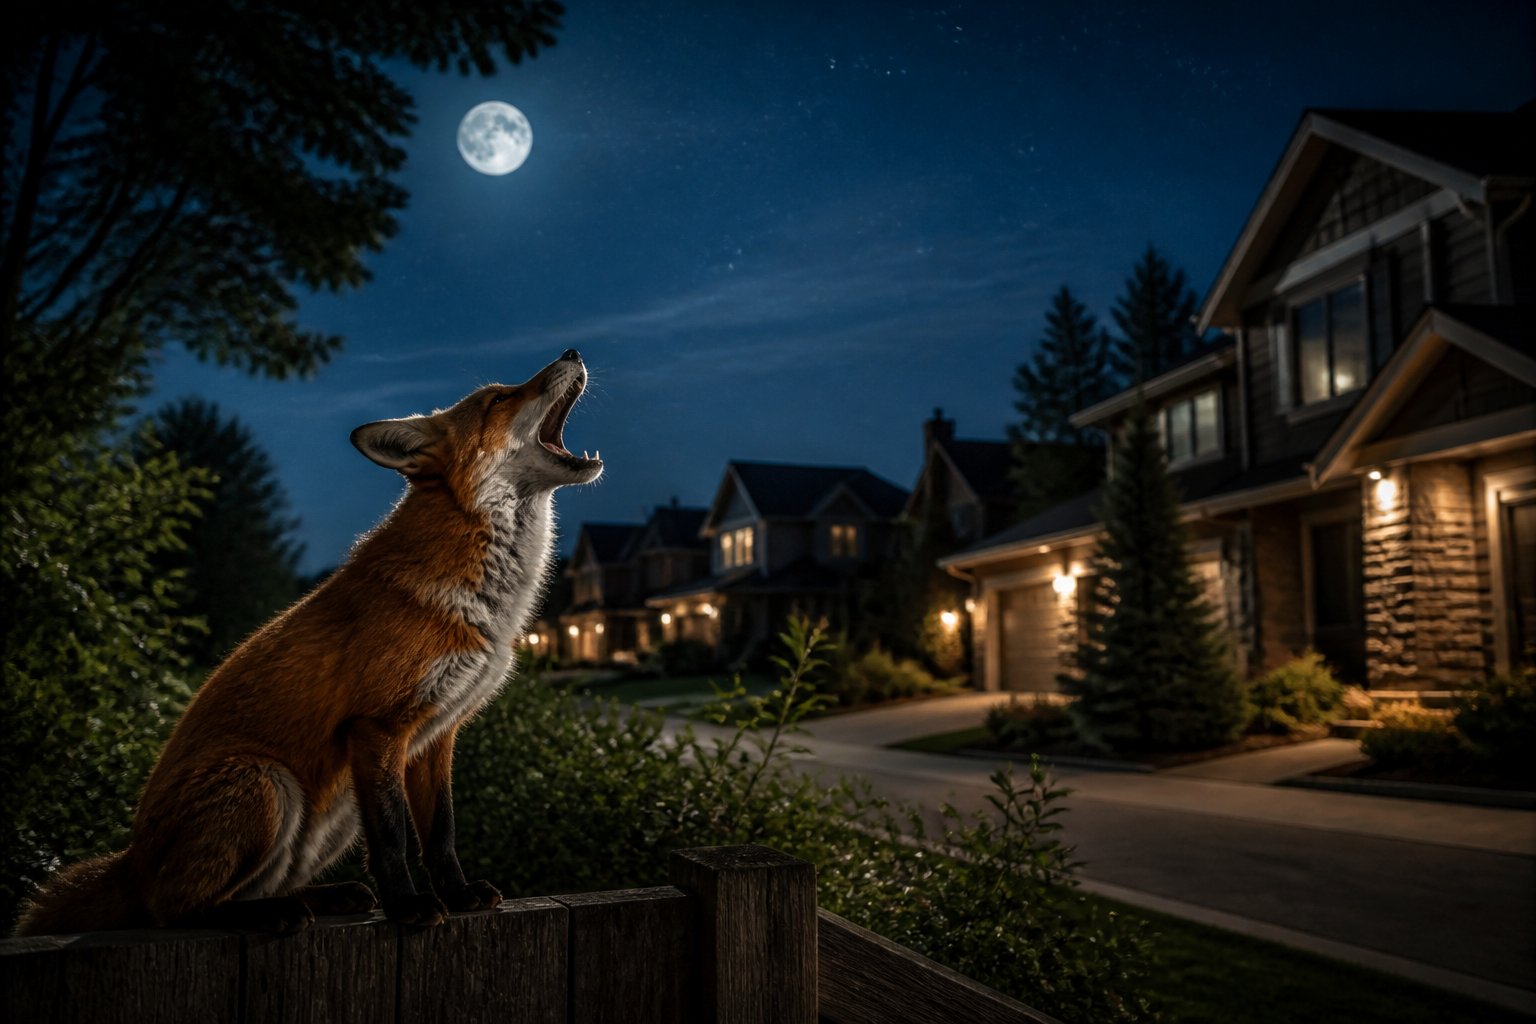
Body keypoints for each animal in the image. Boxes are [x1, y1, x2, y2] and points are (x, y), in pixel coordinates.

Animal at [15, 349, 603, 936]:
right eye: (499, 399)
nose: (572, 353)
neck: (489, 600)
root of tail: (131, 861)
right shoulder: (377, 727)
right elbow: (393, 839)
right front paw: (408, 908)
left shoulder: (437, 735)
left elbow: (440, 834)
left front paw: (457, 896)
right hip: (267, 783)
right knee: (177, 910)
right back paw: (276, 913)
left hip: (332, 816)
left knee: (251, 888)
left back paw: (326, 898)